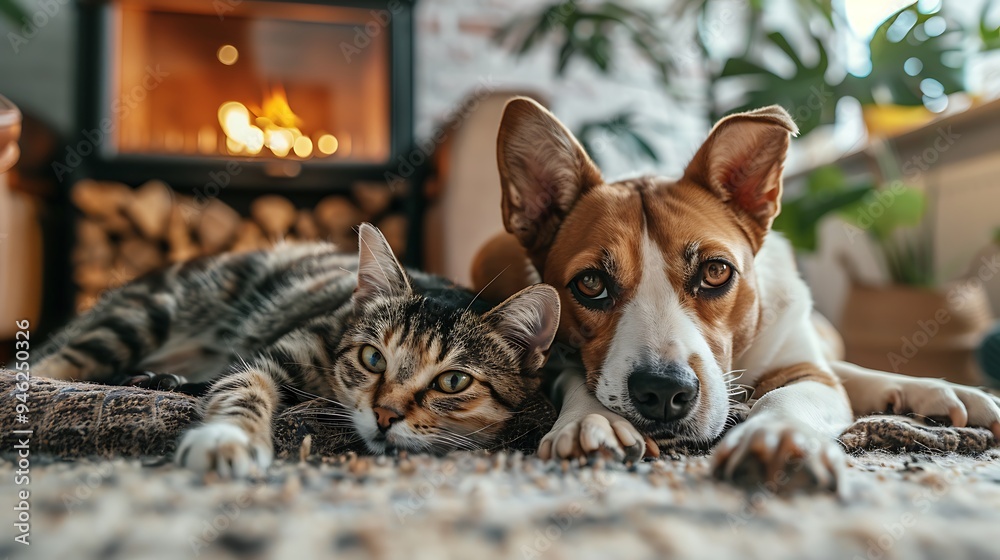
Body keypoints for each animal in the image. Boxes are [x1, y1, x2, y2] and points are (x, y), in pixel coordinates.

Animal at [33, 224, 564, 476]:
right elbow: (243, 385)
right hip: (146, 314)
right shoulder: (274, 356)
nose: (385, 415)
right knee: (52, 361)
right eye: (373, 358)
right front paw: (226, 438)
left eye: (453, 381)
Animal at [476, 98, 1000, 492]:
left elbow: (790, 395)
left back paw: (943, 392)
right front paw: (592, 421)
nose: (663, 393)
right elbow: (577, 379)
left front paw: (776, 435)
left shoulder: (810, 373)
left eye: (714, 272)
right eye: (590, 284)